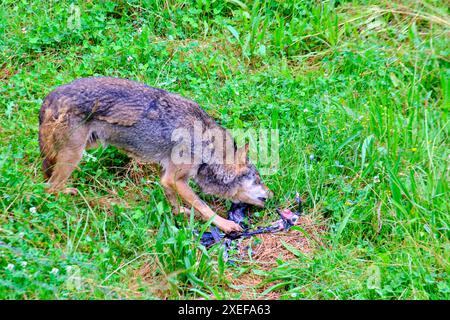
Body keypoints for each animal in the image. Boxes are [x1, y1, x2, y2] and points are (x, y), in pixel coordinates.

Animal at [38, 76, 272, 234]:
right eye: (258, 179)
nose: (272, 195)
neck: (207, 146)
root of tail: (49, 98)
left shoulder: (167, 178)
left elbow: (175, 203)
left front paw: (180, 214)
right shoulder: (176, 179)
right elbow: (204, 207)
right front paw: (226, 225)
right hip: (74, 156)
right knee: (50, 188)